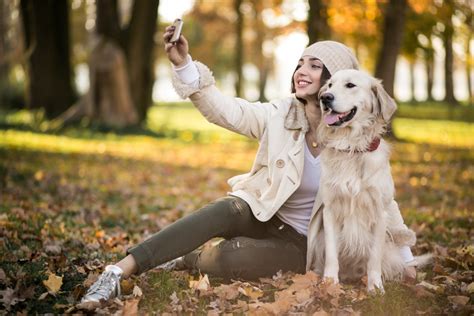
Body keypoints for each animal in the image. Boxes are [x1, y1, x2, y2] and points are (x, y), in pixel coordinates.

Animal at [312, 70, 424, 292]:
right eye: (329, 85)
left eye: (350, 85)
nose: (325, 98)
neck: (352, 148)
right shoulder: (330, 210)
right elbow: (331, 253)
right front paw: (330, 282)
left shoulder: (380, 211)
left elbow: (374, 257)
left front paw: (375, 287)